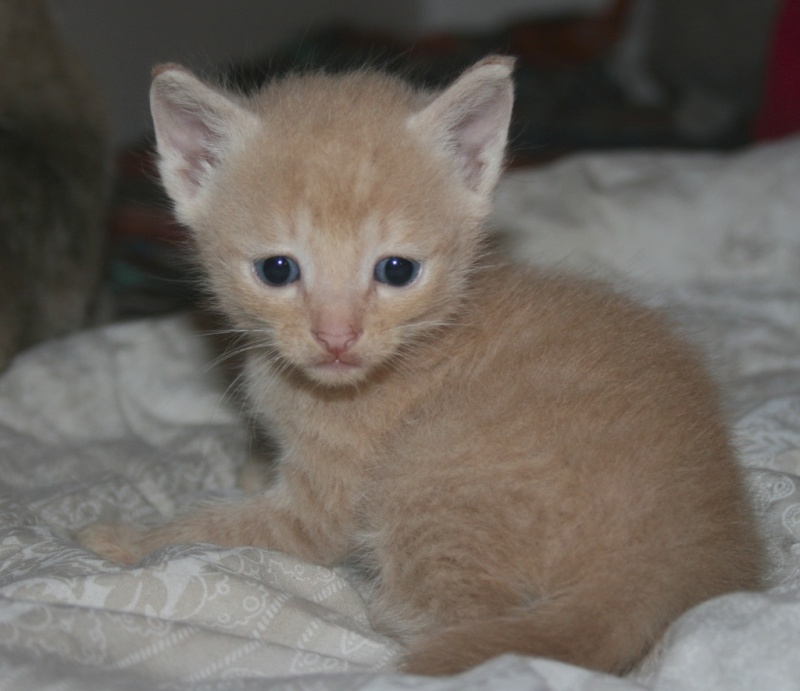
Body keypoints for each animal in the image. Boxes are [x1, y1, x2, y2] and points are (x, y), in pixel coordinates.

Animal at [79, 56, 764, 680]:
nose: (336, 337)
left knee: (471, 621)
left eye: (396, 270)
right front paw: (249, 469)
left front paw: (124, 540)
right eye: (277, 270)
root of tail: (651, 579)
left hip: (424, 476)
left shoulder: (321, 511)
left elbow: (216, 528)